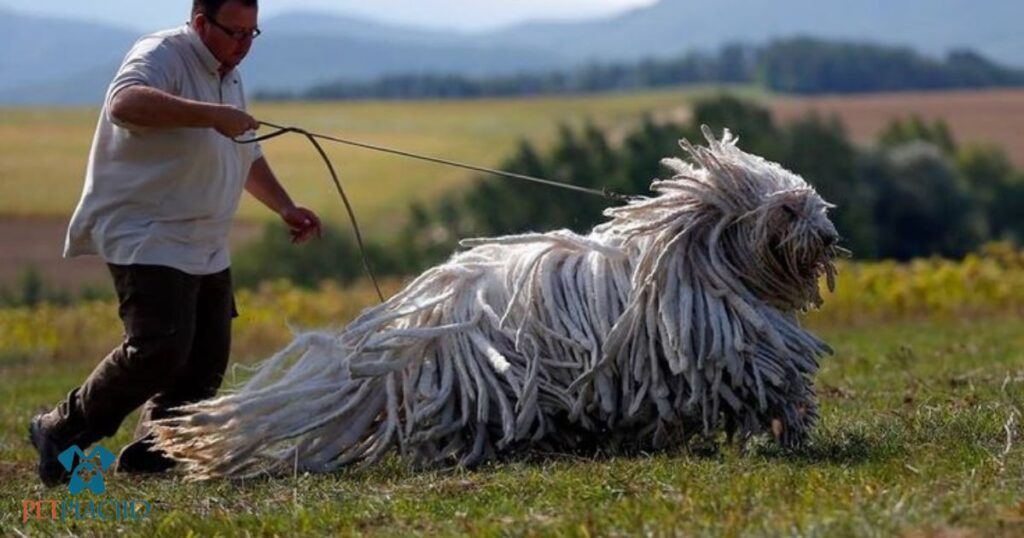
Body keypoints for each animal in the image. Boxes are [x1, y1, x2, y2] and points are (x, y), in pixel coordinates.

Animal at [149, 126, 839, 477]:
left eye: (812, 201)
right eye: (787, 209)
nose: (829, 236)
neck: (698, 256)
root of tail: (410, 322)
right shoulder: (724, 345)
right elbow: (767, 377)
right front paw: (791, 425)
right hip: (488, 380)